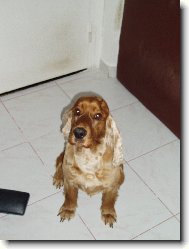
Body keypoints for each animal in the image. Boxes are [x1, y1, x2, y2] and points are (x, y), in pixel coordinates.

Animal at [52, 95, 124, 228]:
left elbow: (109, 201)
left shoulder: (111, 187)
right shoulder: (70, 181)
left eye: (98, 116)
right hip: (62, 157)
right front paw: (67, 211)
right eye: (77, 111)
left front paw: (108, 214)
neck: (88, 156)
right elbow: (70, 198)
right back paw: (58, 178)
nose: (79, 132)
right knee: (58, 165)